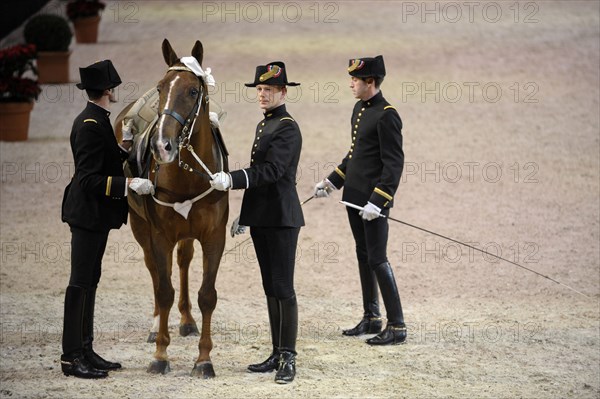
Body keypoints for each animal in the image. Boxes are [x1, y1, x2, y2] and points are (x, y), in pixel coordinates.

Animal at [114, 38, 227, 378]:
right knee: (154, 271)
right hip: (140, 227)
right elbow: (164, 290)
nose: (161, 146)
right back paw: (156, 328)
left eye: (192, 91)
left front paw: (203, 359)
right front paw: (161, 355)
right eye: (162, 88)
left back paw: (187, 321)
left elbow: (207, 295)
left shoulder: (214, 236)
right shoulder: (160, 235)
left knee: (184, 260)